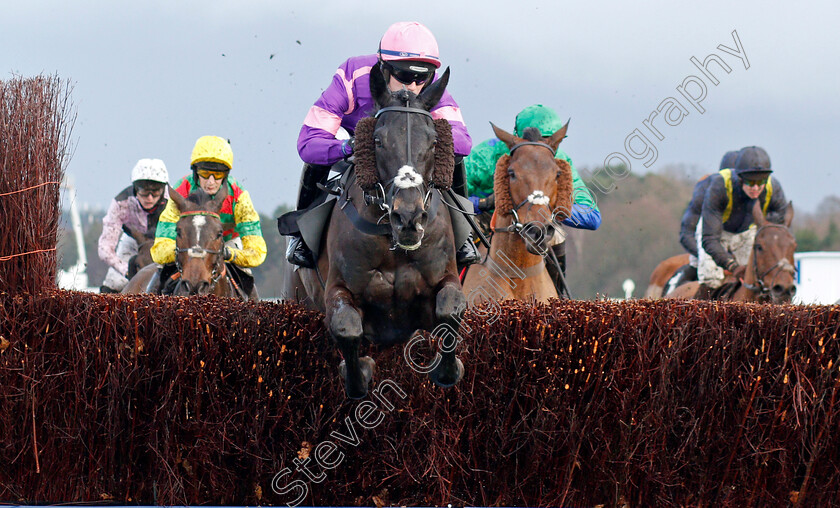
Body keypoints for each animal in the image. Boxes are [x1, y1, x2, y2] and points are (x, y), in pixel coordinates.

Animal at [282, 63, 466, 398]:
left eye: (434, 141)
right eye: (378, 140)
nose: (408, 217)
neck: (392, 243)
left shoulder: (444, 279)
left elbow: (450, 309)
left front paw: (449, 369)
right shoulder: (338, 289)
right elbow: (346, 326)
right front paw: (359, 372)